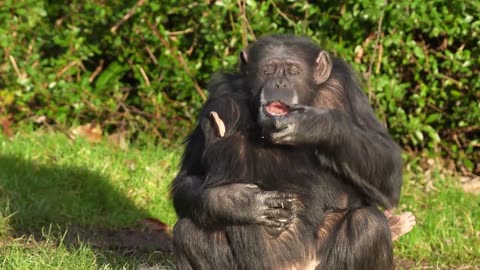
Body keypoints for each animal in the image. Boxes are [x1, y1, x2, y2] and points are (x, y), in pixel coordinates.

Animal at [171, 34, 414, 268]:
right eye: (268, 70)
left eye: (293, 70)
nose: (279, 83)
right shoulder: (220, 98)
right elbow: (189, 178)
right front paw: (239, 201)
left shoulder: (344, 88)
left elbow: (387, 161)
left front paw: (313, 124)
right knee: (190, 231)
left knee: (368, 224)